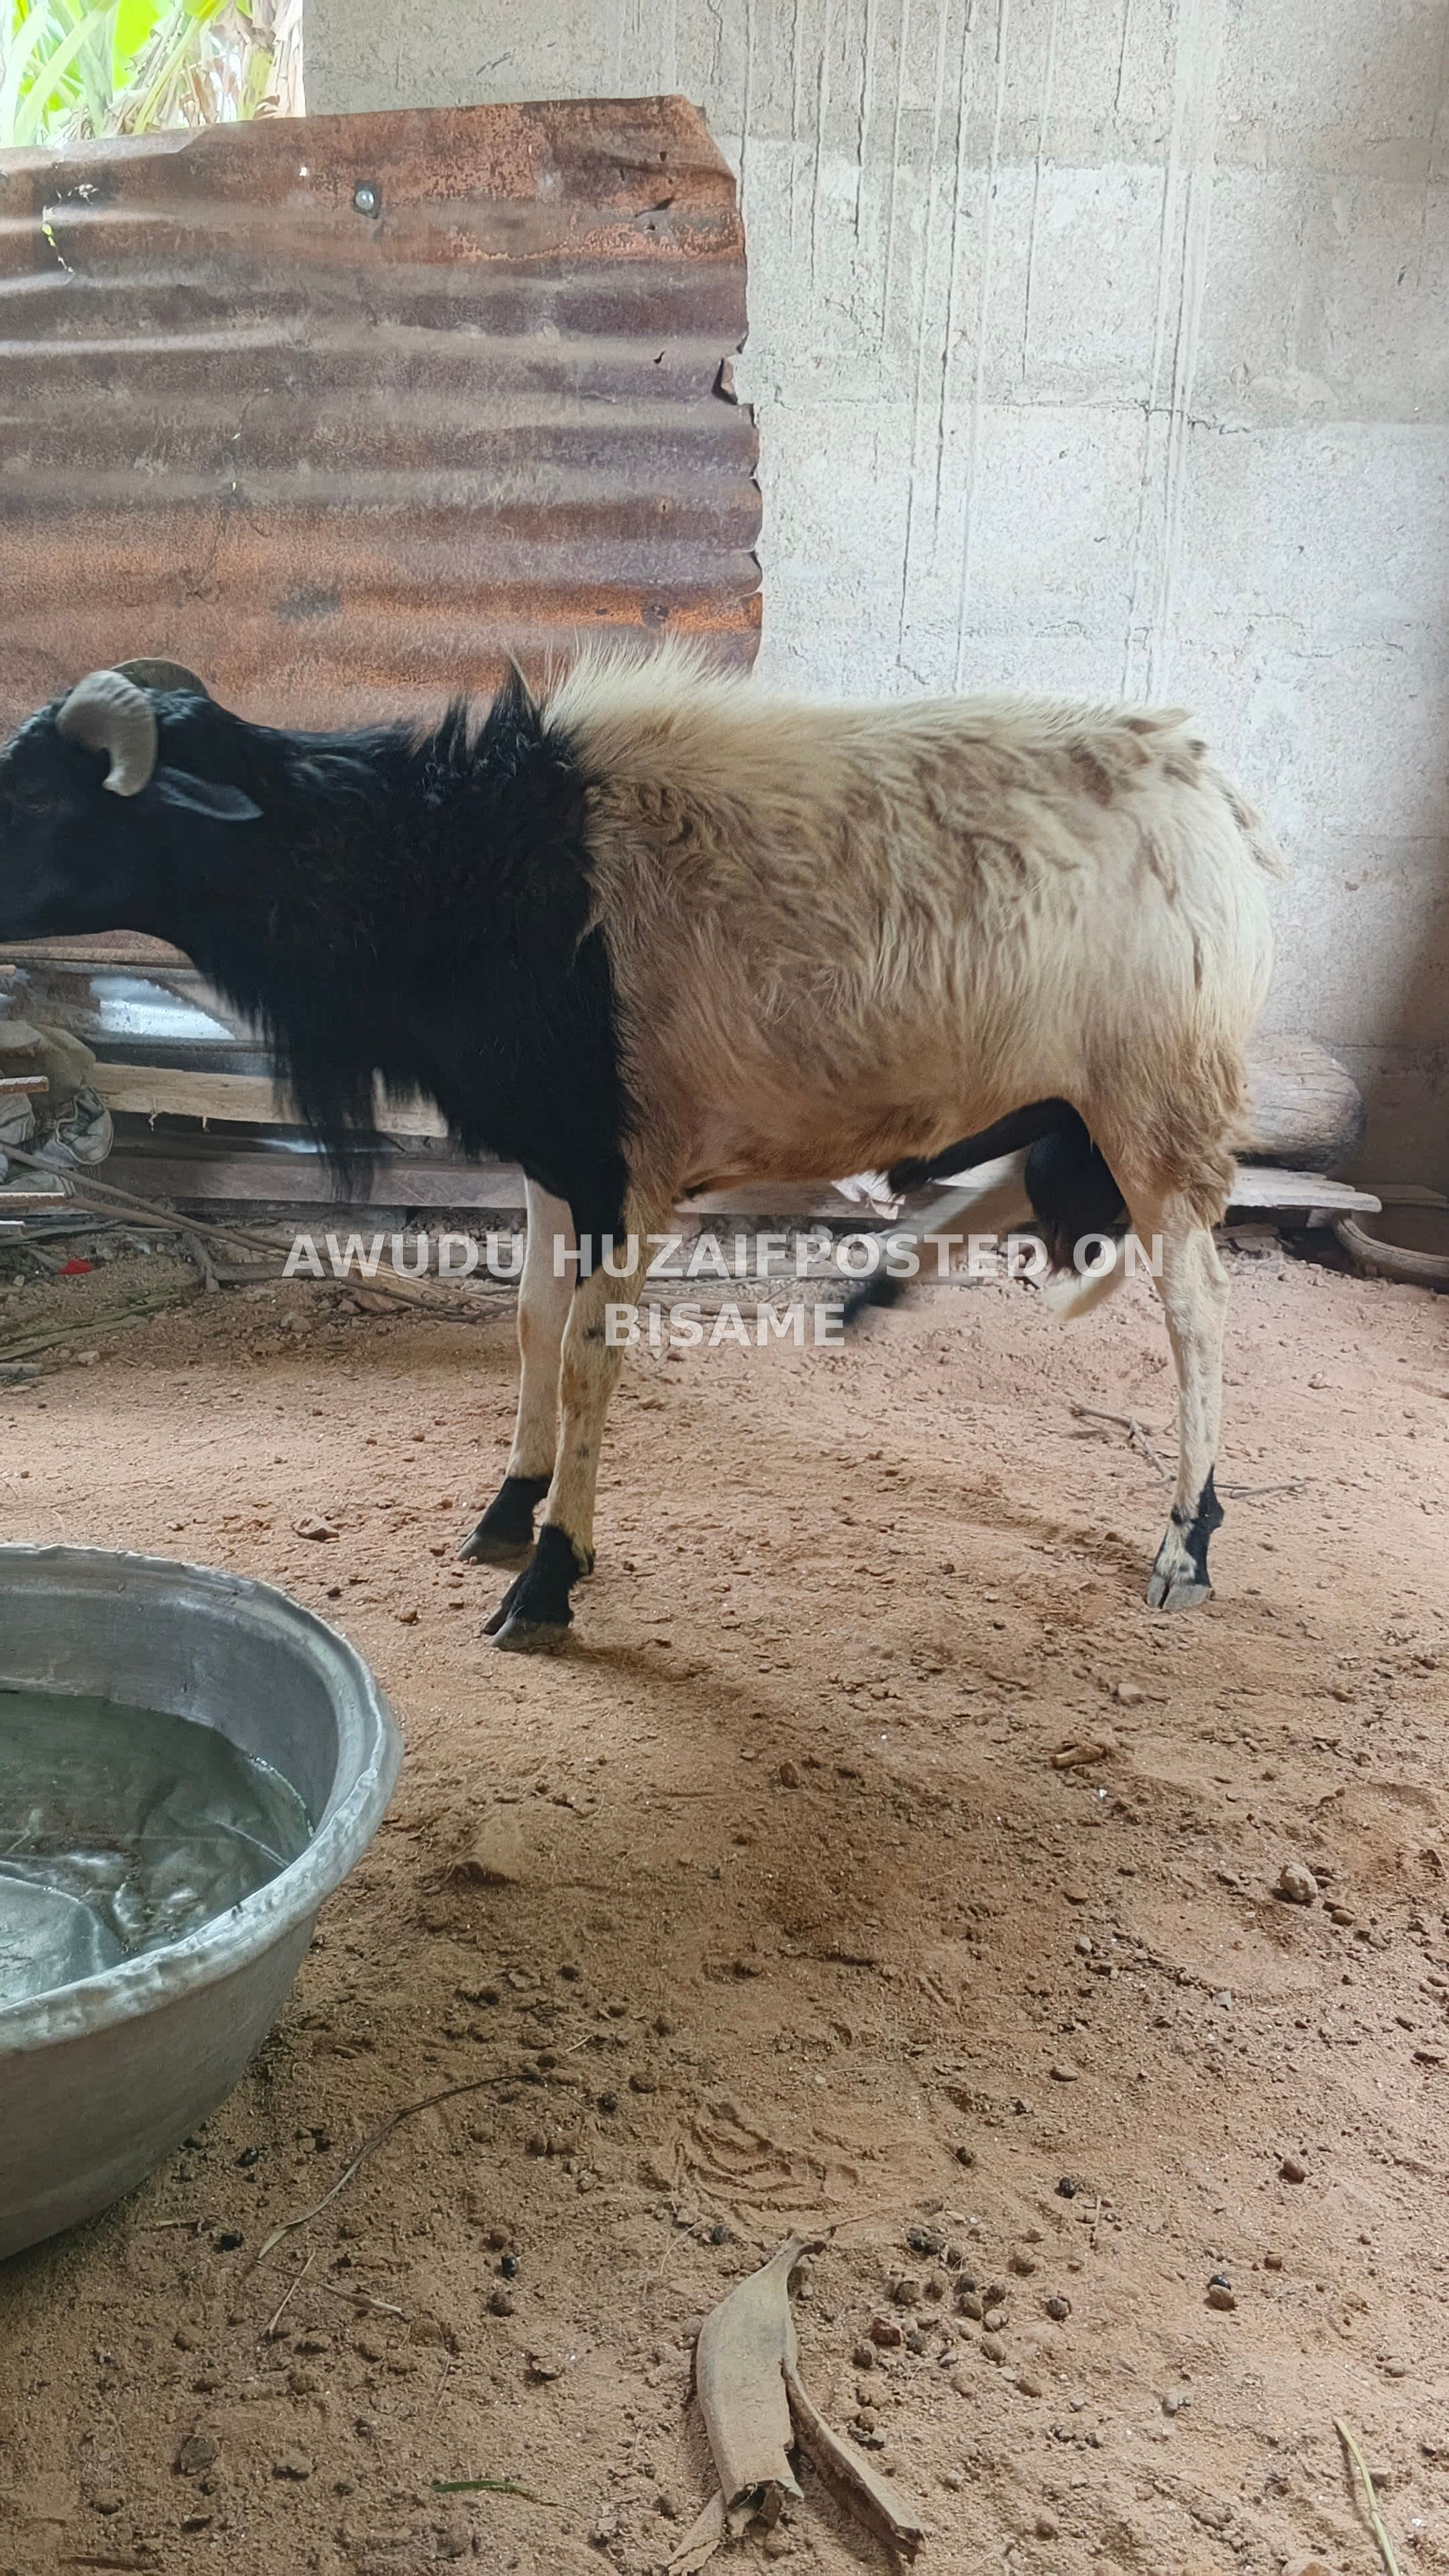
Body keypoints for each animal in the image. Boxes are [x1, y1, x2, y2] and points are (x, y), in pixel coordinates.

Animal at [0, 646, 1281, 1650]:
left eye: (48, 802)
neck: (466, 867)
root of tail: (1214, 788)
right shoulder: (556, 1153)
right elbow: (530, 1329)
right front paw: (508, 1508)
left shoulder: (637, 1168)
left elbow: (588, 1357)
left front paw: (551, 1578)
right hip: (1075, 1101)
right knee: (1029, 1183)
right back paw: (878, 1289)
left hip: (1157, 1100)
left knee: (1198, 1313)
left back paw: (1188, 1540)